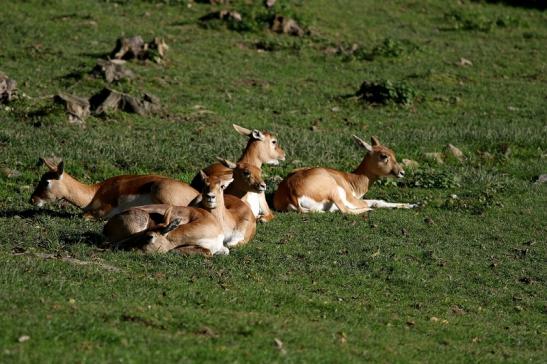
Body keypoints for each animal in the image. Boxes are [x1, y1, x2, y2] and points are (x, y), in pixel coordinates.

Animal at [272, 135, 418, 213]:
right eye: (383, 156)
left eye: (392, 152)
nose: (402, 172)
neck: (351, 179)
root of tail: (291, 191)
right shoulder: (352, 199)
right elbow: (377, 201)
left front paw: (413, 204)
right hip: (334, 192)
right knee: (346, 211)